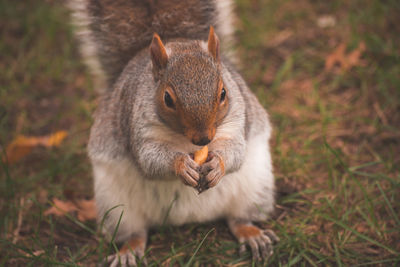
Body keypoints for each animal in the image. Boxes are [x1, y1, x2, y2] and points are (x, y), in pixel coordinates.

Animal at [68, 0, 278, 264]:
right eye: (167, 98)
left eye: (223, 93)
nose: (204, 138)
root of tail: (189, 217)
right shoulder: (139, 128)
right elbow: (149, 161)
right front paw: (181, 165)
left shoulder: (237, 119)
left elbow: (236, 151)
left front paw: (217, 164)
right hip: (116, 207)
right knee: (135, 233)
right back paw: (128, 252)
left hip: (256, 188)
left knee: (238, 218)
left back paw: (251, 234)